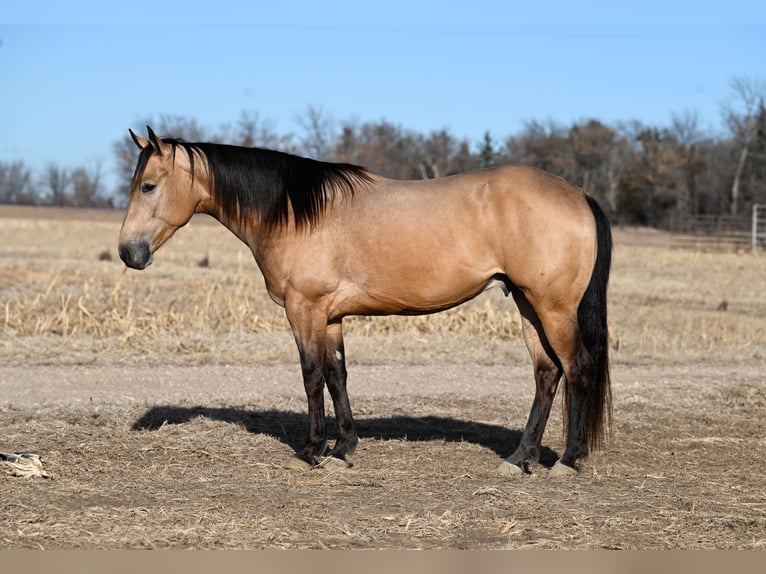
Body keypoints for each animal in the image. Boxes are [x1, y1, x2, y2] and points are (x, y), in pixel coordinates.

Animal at [118, 126, 612, 476]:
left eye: (148, 186)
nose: (128, 252)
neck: (296, 211)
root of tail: (579, 194)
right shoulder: (330, 316)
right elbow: (337, 376)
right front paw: (343, 448)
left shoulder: (305, 308)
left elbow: (311, 375)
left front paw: (311, 450)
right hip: (529, 305)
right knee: (546, 374)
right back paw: (520, 457)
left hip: (552, 308)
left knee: (577, 368)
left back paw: (568, 461)